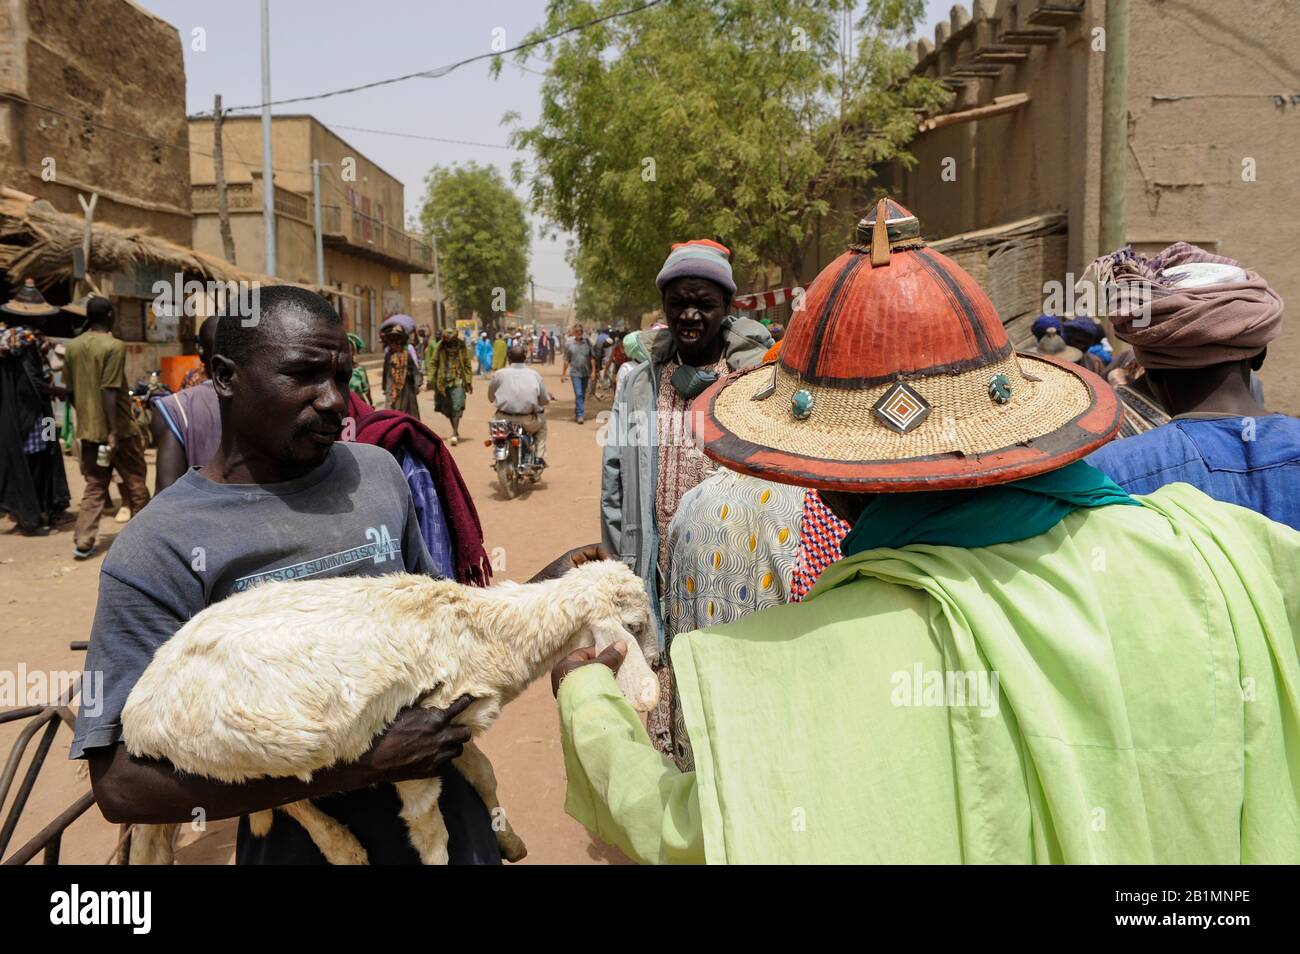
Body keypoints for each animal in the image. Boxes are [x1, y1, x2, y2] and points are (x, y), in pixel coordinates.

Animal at [120, 561, 655, 868]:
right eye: (635, 625)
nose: (658, 660)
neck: (482, 633)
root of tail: (135, 718)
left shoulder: (459, 721)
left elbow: (484, 772)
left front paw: (510, 843)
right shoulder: (420, 743)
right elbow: (431, 835)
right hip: (251, 747)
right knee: (284, 796)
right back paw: (343, 848)